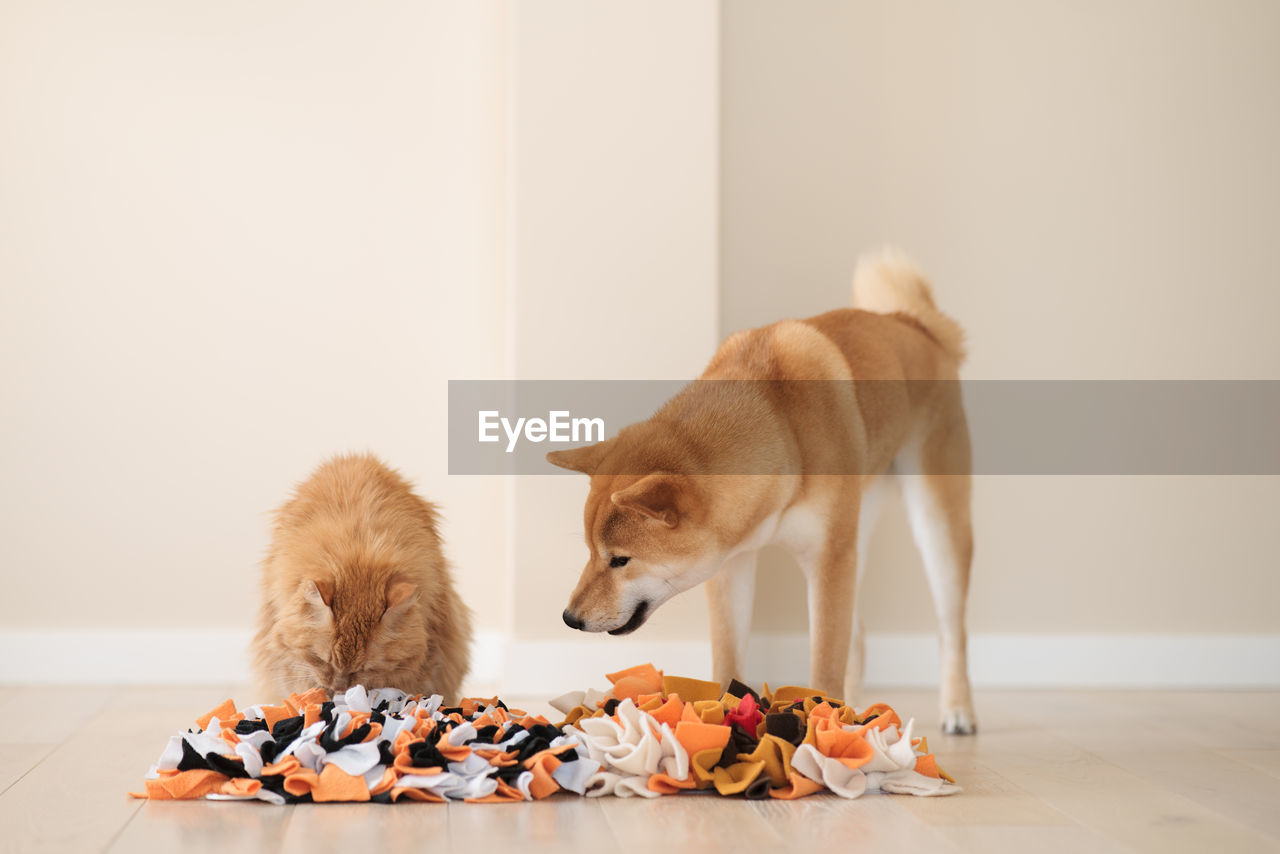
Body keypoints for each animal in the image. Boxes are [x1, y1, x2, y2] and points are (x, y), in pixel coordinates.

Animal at [550, 248, 977, 737]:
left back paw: (956, 709)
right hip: (858, 531)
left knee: (951, 630)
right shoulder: (732, 567)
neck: (783, 429)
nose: (569, 618)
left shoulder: (827, 558)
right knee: (859, 634)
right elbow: (728, 656)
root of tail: (915, 324)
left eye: (620, 560)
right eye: (589, 552)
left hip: (934, 523)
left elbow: (824, 662)